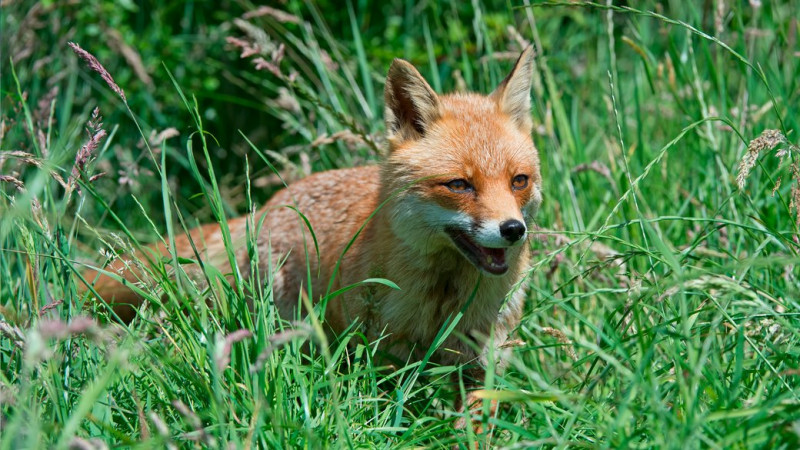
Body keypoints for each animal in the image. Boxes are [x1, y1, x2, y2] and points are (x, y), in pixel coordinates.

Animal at [83, 46, 544, 426]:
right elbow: (395, 415)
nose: (513, 230)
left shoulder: (483, 357)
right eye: (460, 185)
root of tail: (270, 204)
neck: (443, 298)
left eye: (518, 181)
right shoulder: (386, 356)